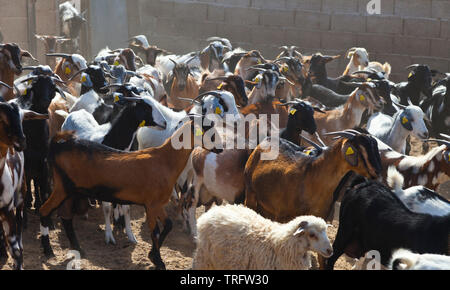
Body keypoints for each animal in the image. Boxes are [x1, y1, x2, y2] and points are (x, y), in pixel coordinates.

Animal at [40, 115, 221, 268]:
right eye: (208, 131)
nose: (220, 149)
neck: (164, 160)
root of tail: (58, 145)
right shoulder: (151, 204)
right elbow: (154, 232)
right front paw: (157, 260)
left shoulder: (156, 204)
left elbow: (168, 225)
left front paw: (153, 256)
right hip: (62, 188)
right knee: (44, 211)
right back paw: (49, 251)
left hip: (70, 191)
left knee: (65, 217)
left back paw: (77, 249)